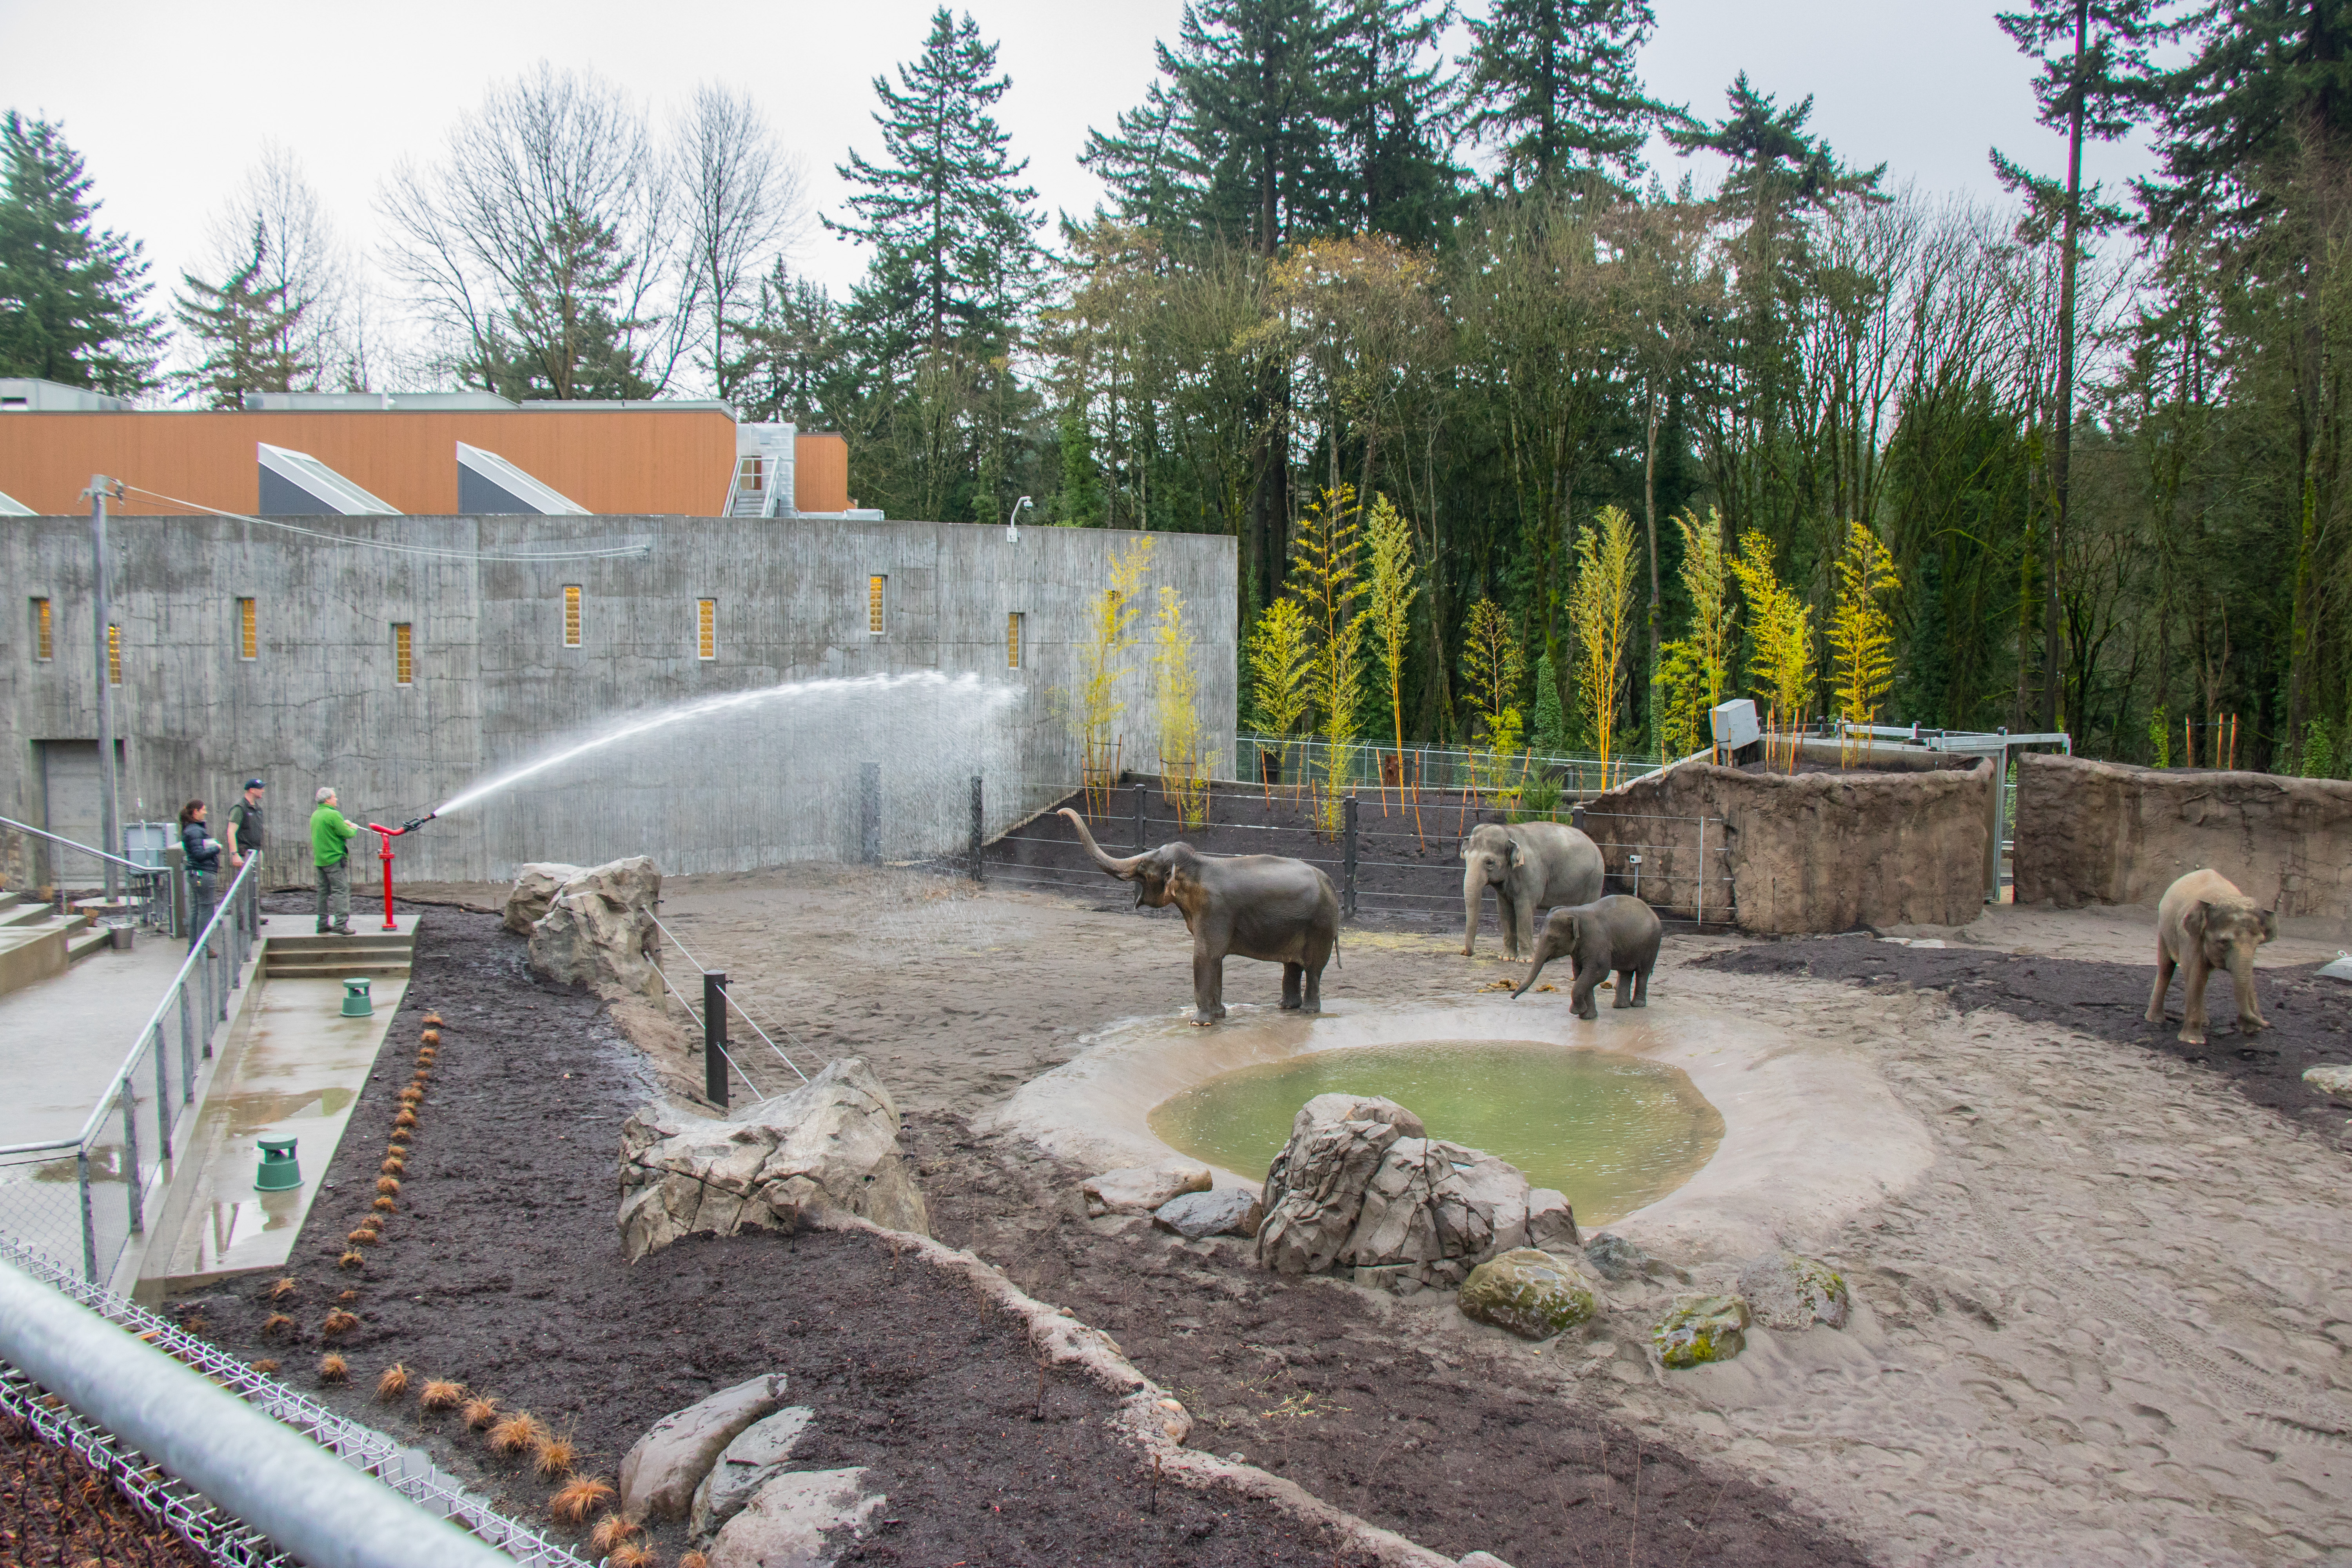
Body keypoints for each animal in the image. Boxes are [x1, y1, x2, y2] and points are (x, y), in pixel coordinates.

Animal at [1068, 808, 1345, 1029]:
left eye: (1144, 868)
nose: (1061, 813)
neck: (1198, 864)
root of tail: (1330, 882)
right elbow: (1215, 959)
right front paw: (1220, 1016)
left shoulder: (1214, 910)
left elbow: (1204, 955)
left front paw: (1199, 1024)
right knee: (1293, 965)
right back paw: (1285, 1007)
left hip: (1320, 926)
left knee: (1314, 968)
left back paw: (1308, 1011)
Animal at [1458, 822, 1609, 959]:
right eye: (1466, 858)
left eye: (1490, 862)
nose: (1465, 952)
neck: (1509, 832)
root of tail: (1595, 845)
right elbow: (1504, 910)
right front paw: (1506, 958)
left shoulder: (1530, 873)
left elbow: (1524, 909)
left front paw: (1525, 960)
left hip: (1594, 880)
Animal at [1515, 893, 1665, 1020]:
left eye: (1552, 939)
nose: (1512, 998)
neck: (1575, 912)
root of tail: (1652, 911)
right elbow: (1580, 974)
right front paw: (1588, 1017)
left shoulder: (1597, 944)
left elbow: (1598, 973)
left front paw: (1577, 1012)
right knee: (1625, 972)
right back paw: (1620, 1006)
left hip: (1652, 944)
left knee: (1643, 973)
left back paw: (1637, 1005)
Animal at [2154, 865, 2277, 1048]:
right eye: (2223, 942)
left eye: (2258, 943)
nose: (2269, 1024)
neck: (2222, 897)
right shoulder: (2190, 936)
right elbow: (2197, 974)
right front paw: (2192, 1041)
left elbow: (2247, 976)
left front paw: (2251, 1031)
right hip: (2164, 930)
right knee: (2167, 969)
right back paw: (2155, 1021)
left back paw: (2205, 1022)